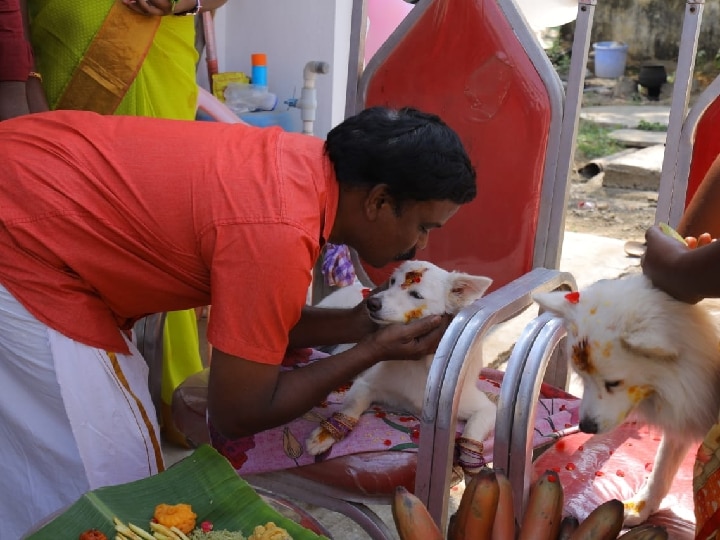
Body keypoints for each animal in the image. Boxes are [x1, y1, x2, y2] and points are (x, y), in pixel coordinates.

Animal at [304, 260, 496, 470]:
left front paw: (471, 458)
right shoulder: (366, 385)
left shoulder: (485, 408)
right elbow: (352, 407)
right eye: (393, 282)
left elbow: (473, 428)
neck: (420, 366)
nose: (371, 303)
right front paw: (325, 435)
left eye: (416, 295)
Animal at [532, 274, 720, 524]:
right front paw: (643, 508)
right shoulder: (685, 412)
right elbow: (661, 468)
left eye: (613, 383)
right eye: (582, 378)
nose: (586, 427)